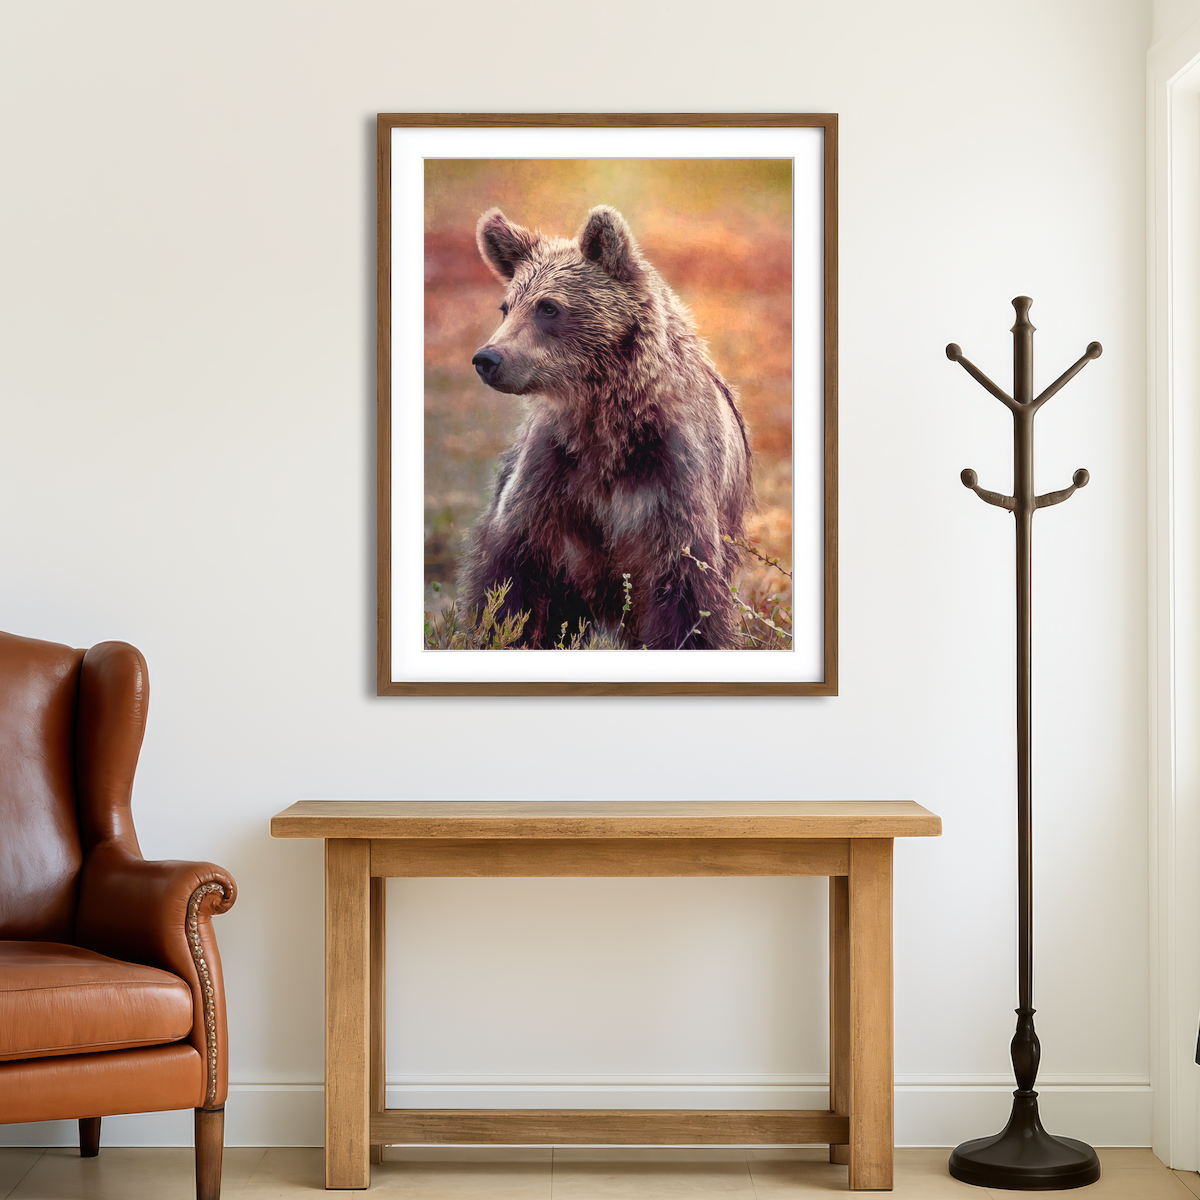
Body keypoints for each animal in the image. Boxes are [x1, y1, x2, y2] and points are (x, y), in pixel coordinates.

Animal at [456, 204, 753, 650]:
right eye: (506, 306)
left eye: (548, 307)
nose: (488, 358)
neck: (607, 424)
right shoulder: (552, 478)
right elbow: (510, 583)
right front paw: (501, 630)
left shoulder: (671, 482)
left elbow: (687, 597)